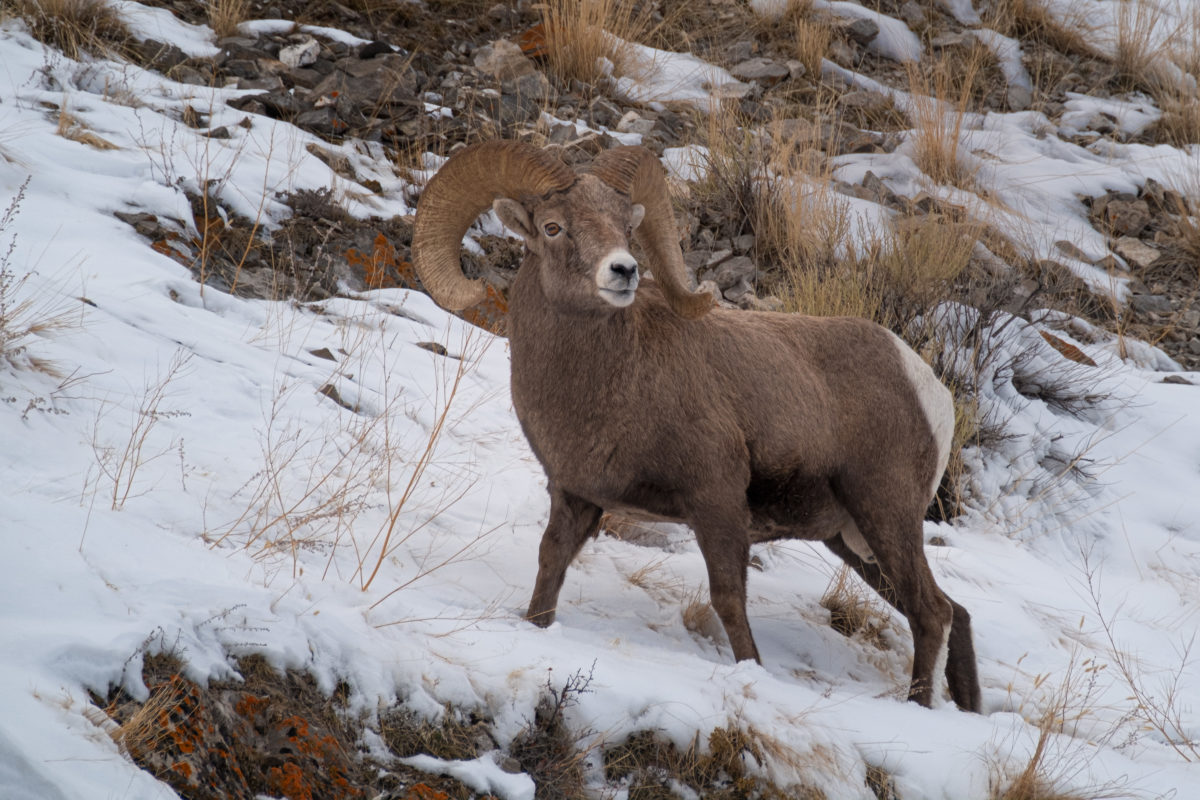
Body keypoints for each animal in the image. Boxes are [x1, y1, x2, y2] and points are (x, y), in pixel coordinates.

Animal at [411, 140, 982, 712]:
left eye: (626, 226)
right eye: (553, 227)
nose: (623, 270)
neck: (612, 380)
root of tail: (929, 388)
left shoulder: (716, 503)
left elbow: (728, 601)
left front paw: (753, 674)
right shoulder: (575, 497)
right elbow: (550, 567)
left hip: (885, 514)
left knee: (932, 612)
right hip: (853, 540)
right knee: (953, 611)